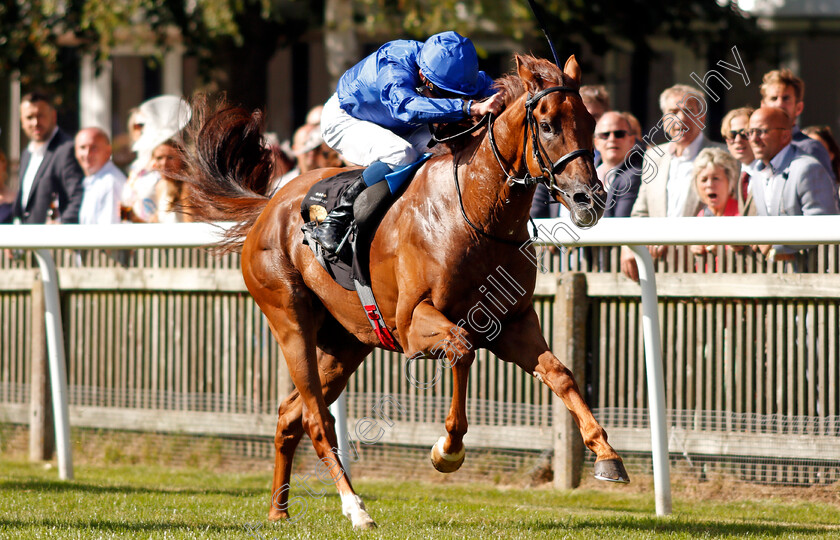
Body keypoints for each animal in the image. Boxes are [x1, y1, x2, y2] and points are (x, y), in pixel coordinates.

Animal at [187, 53, 628, 528]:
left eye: (590, 122)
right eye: (547, 125)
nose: (590, 199)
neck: (475, 211)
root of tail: (269, 205)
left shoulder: (513, 323)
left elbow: (561, 374)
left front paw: (607, 455)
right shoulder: (414, 323)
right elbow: (462, 349)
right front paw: (447, 450)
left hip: (346, 342)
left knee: (291, 415)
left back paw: (278, 511)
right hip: (290, 321)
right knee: (317, 420)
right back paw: (355, 507)